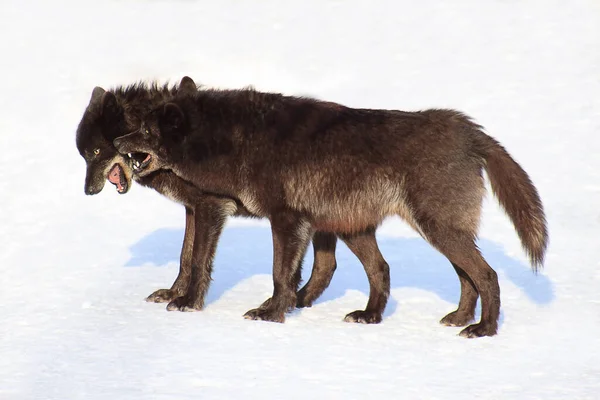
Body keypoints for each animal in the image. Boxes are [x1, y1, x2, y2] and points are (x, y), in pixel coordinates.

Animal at [112, 87, 548, 338]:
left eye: (146, 131)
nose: (116, 141)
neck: (234, 139)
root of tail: (470, 130)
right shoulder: (301, 223)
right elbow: (297, 275)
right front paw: (285, 308)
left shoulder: (285, 219)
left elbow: (278, 273)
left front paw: (270, 313)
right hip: (376, 230)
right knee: (391, 270)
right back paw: (392, 317)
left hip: (437, 230)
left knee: (485, 275)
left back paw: (483, 329)